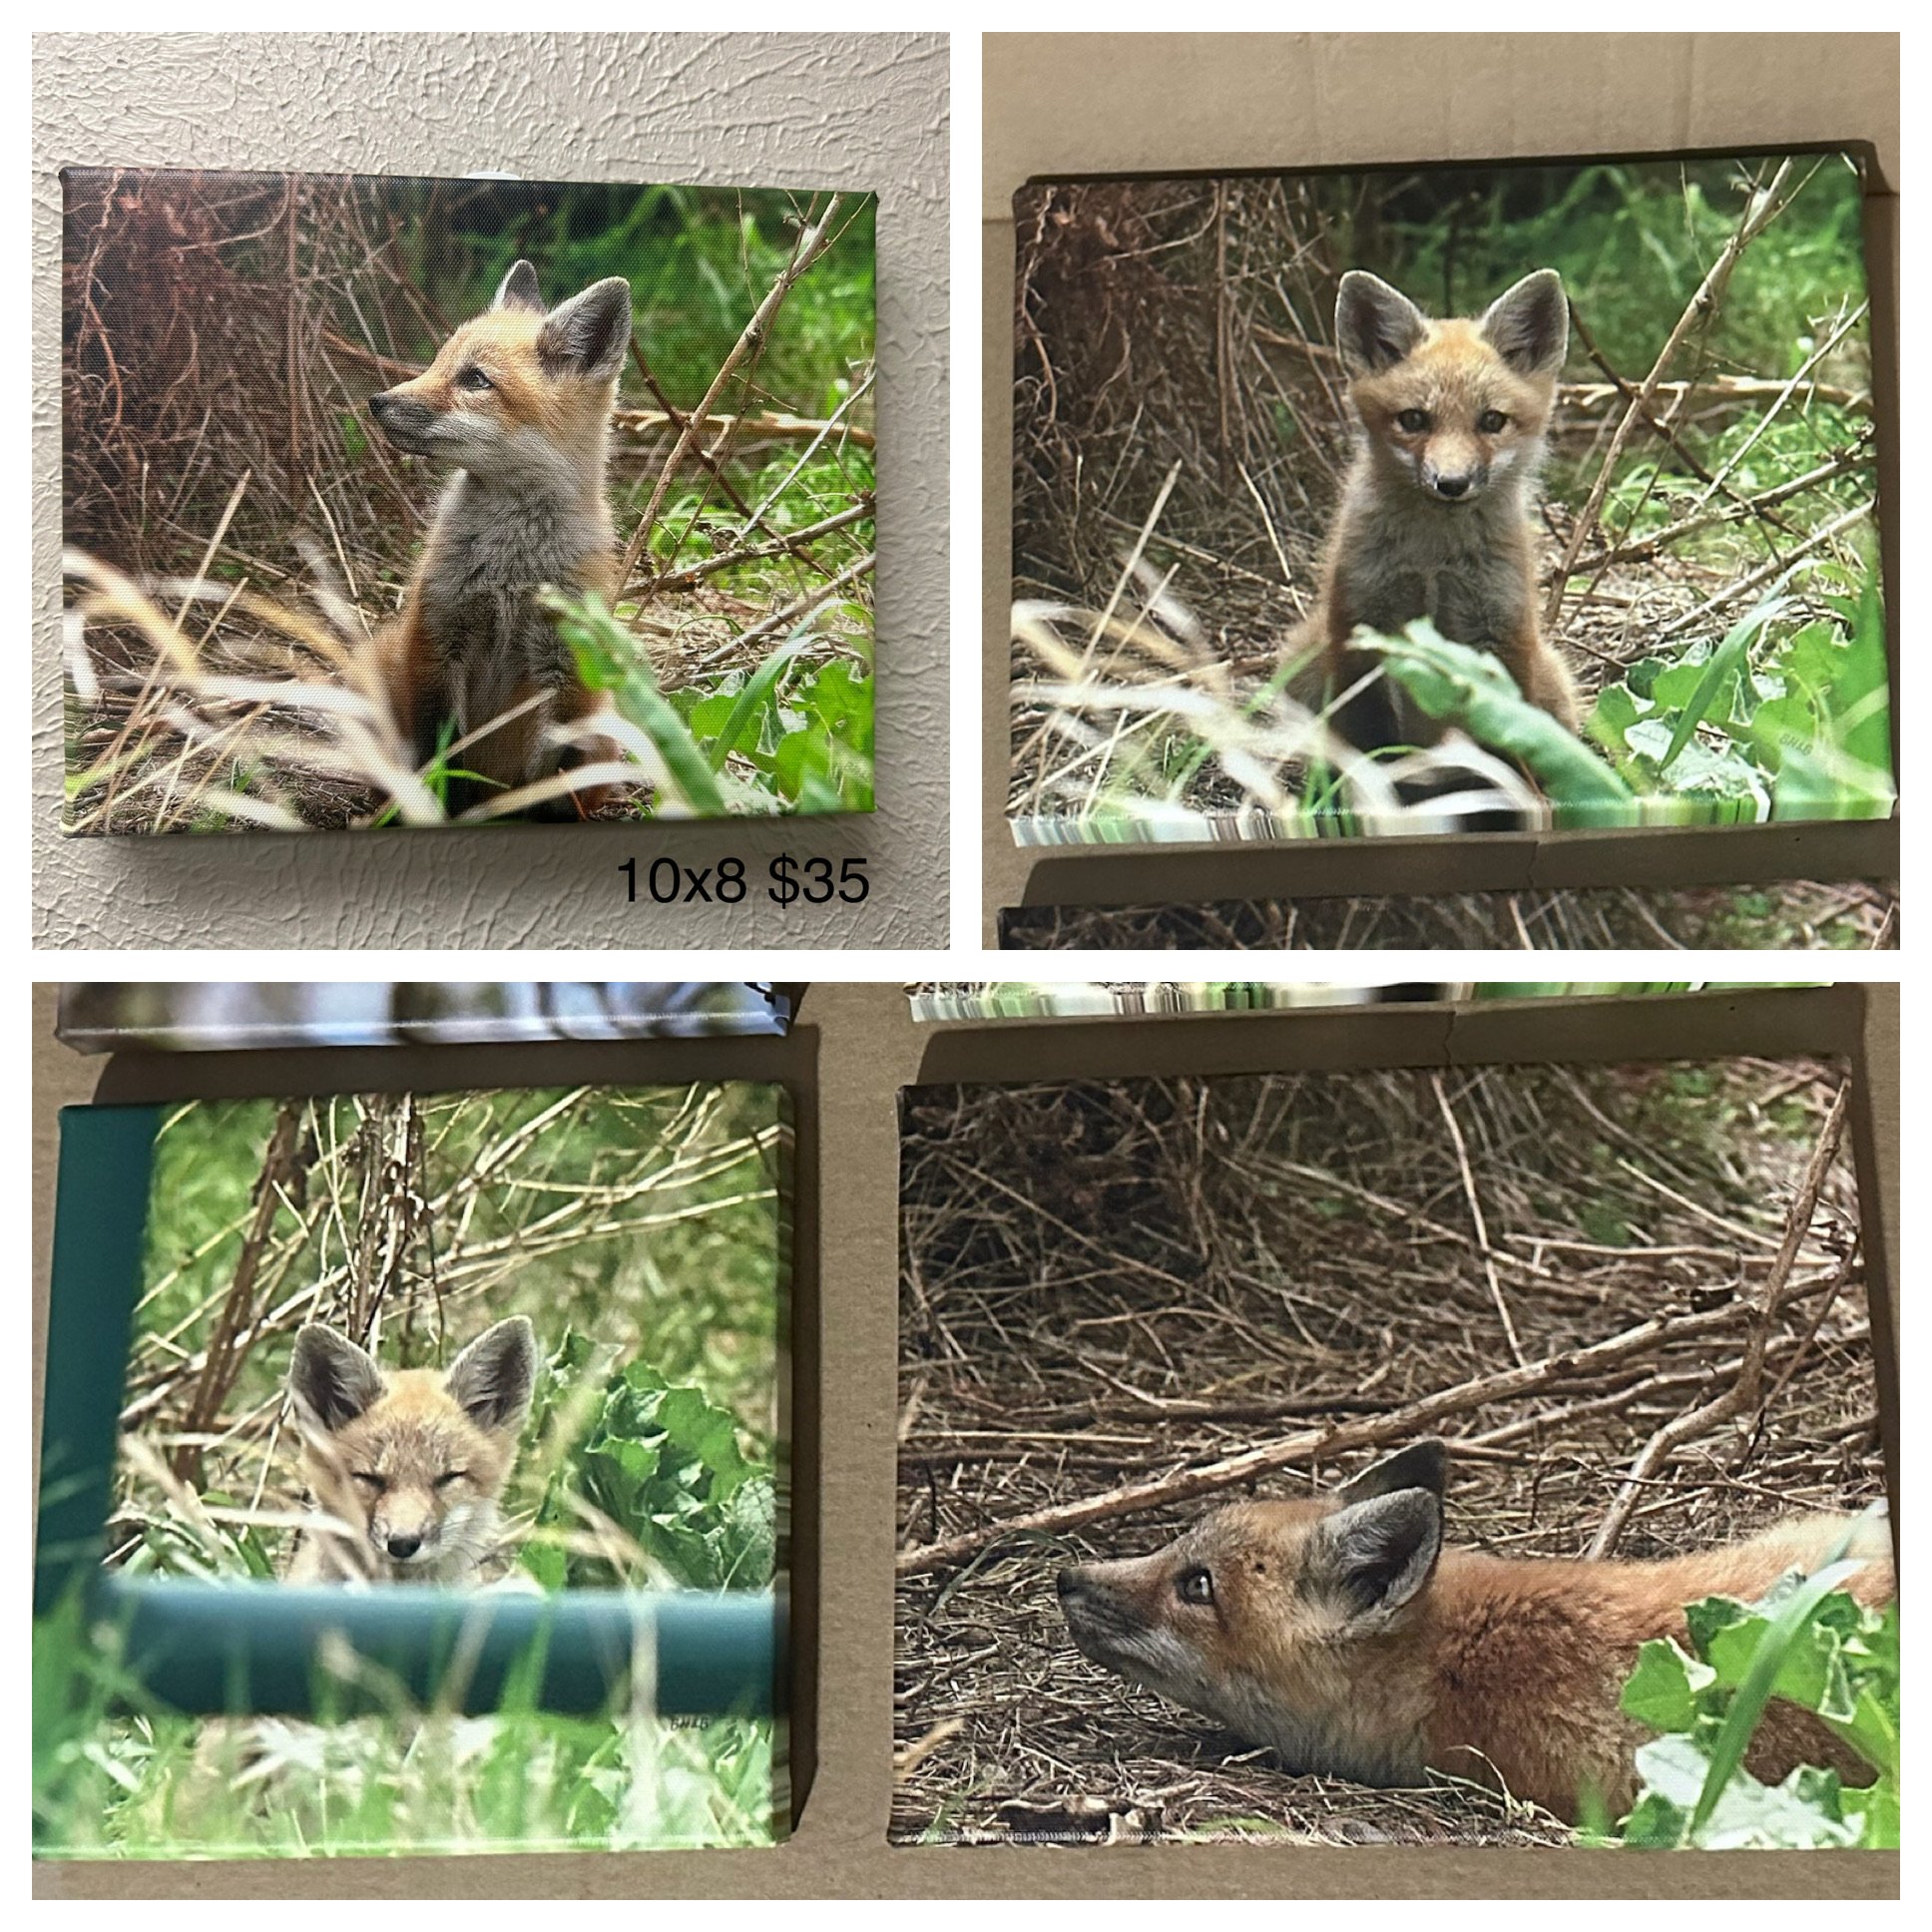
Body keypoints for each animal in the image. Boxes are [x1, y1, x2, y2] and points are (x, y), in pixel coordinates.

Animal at [367, 260, 632, 818]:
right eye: (437, 362)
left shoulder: (567, 673)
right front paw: (440, 810)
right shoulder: (438, 641)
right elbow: (444, 760)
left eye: (475, 379)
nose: (377, 401)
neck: (511, 571)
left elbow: (549, 783)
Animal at [1289, 268, 1582, 758]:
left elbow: (1505, 745)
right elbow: (1372, 745)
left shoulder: (1500, 633)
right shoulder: (1361, 630)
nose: (1451, 483)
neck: (1434, 561)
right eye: (1413, 420)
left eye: (1491, 421)